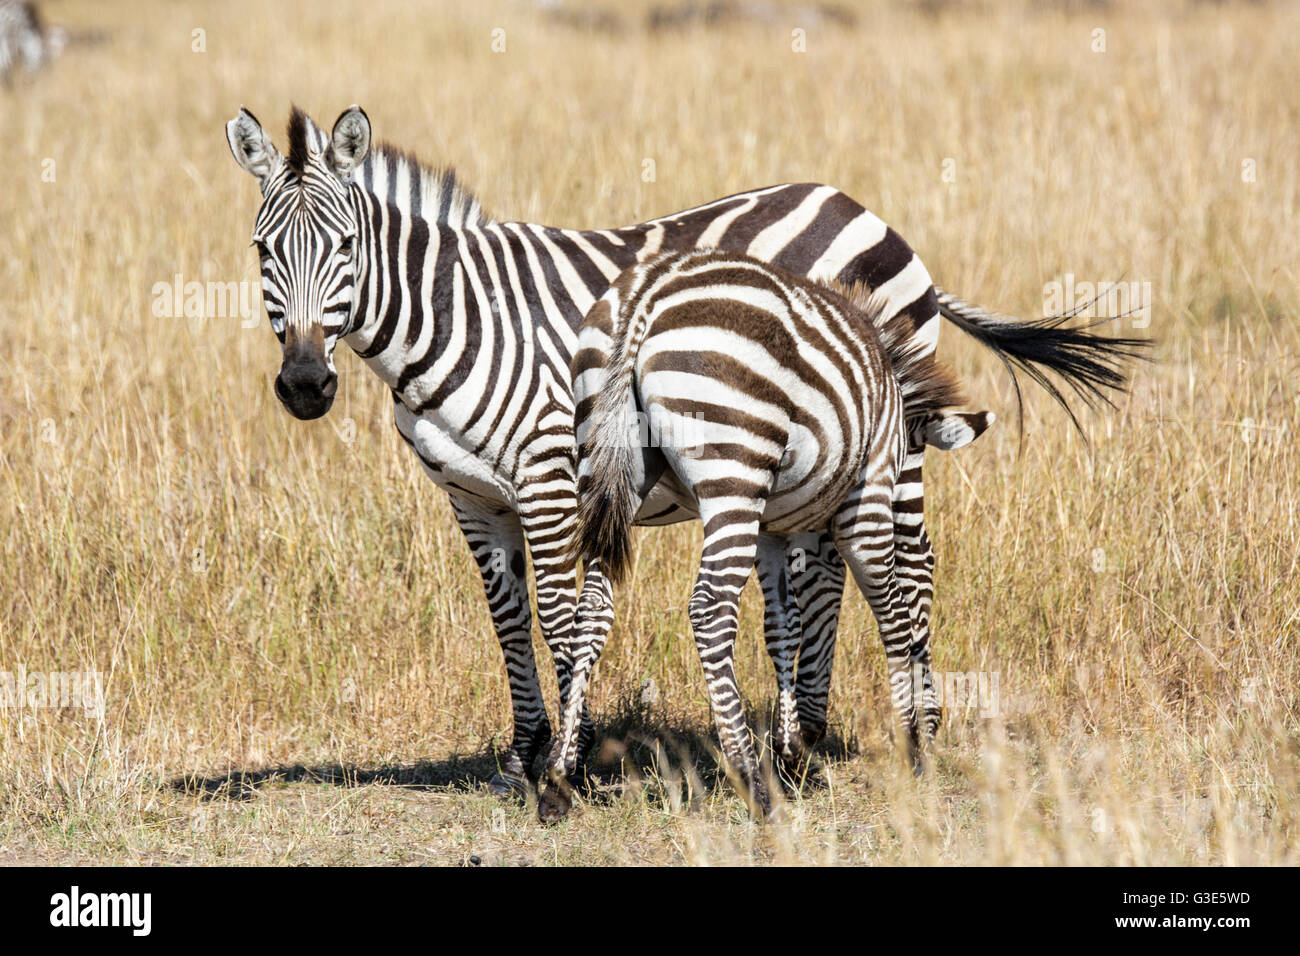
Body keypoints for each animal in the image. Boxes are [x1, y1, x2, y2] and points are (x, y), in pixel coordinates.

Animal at [543, 251, 987, 816]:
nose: (937, 728)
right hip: (734, 471)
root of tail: (645, 296)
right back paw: (750, 780)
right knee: (710, 609)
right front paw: (912, 745)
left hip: (608, 466)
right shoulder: (866, 497)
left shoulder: (773, 528)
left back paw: (559, 777)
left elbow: (784, 625)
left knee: (593, 608)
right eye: (932, 572)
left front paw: (790, 749)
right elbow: (893, 612)